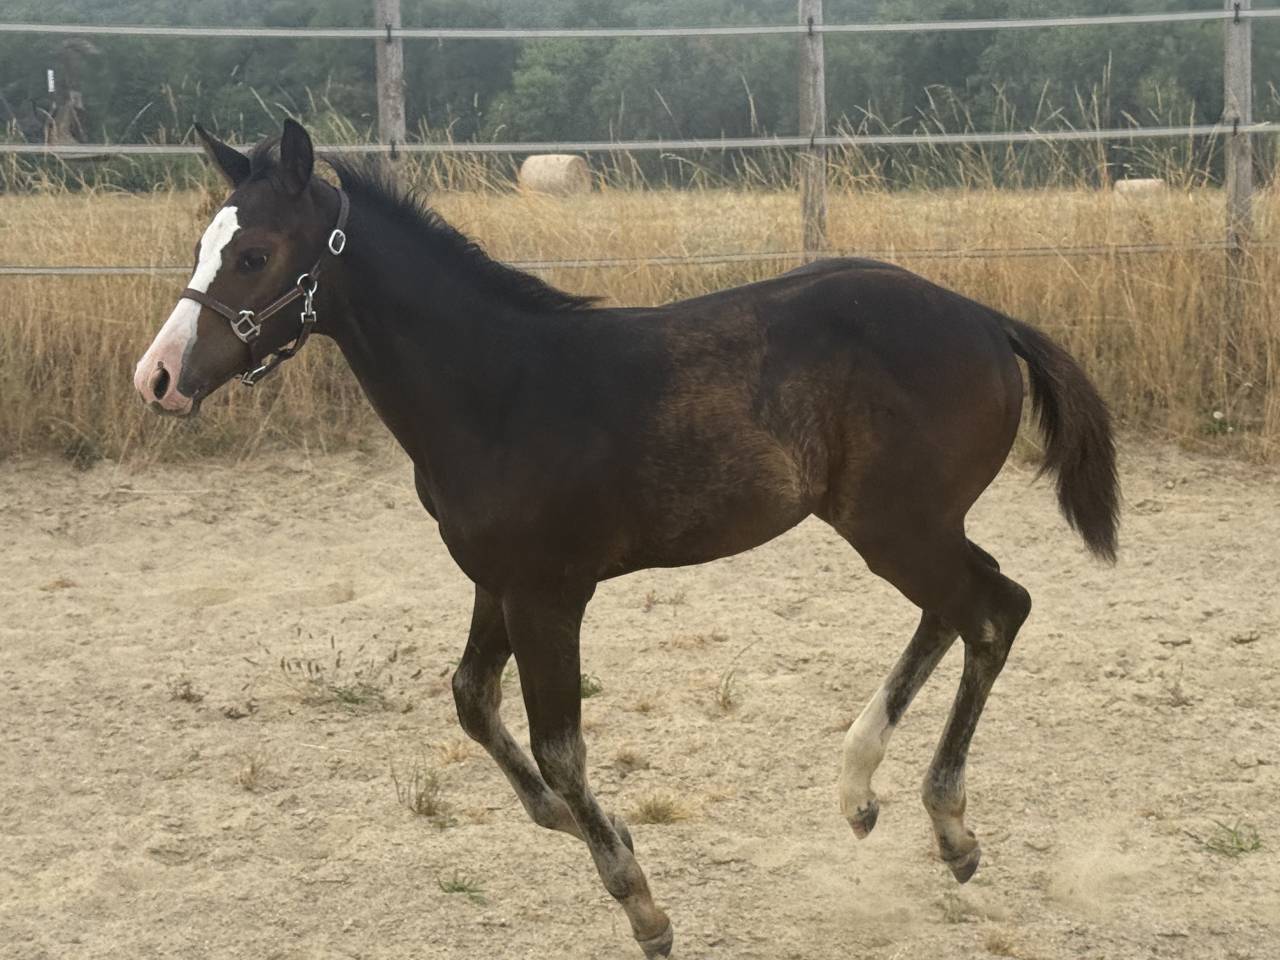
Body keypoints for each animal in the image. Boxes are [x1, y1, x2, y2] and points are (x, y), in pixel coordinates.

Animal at [134, 119, 1119, 958]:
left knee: (995, 609)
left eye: (255, 254)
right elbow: (472, 701)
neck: (496, 388)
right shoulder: (495, 581)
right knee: (961, 609)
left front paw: (641, 901)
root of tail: (985, 320)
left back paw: (948, 827)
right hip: (903, 525)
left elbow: (560, 747)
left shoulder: (549, 592)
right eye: (204, 246)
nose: (160, 378)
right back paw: (860, 792)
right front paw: (580, 824)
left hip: (898, 525)